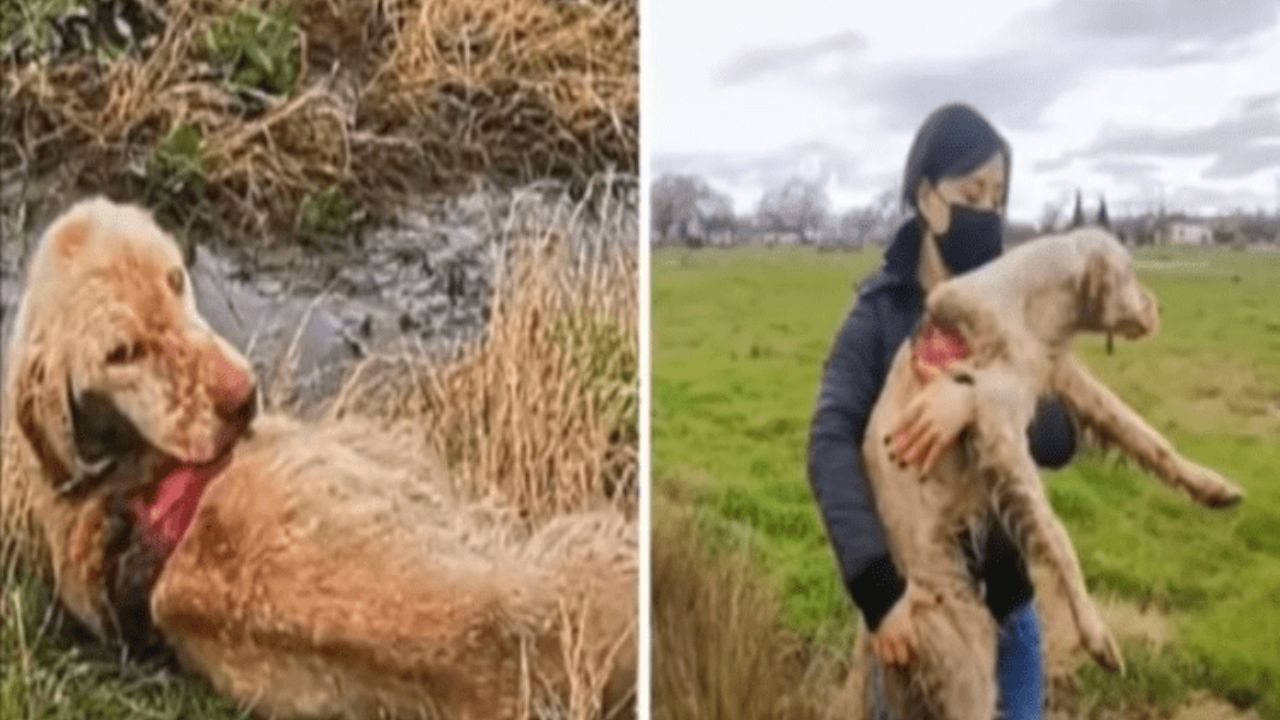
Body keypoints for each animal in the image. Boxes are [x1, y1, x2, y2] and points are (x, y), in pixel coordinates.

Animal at [860, 228, 1239, 717]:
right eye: (1130, 273)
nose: (1160, 308)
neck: (1030, 304)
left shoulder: (1062, 375)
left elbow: (1142, 433)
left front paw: (1211, 485)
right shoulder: (998, 423)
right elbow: (1056, 535)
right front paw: (1094, 632)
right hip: (966, 650)